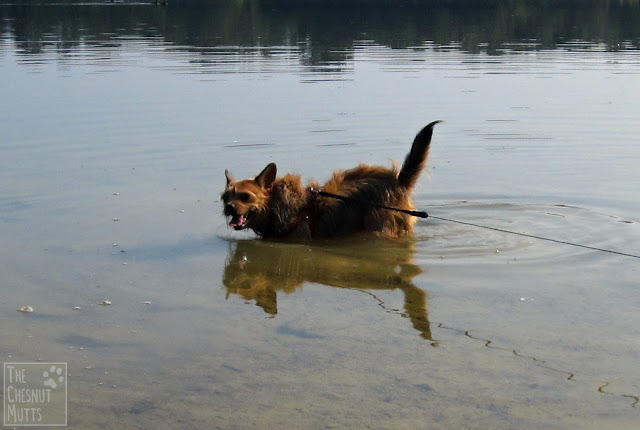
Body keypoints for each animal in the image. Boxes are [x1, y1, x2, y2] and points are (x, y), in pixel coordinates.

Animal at [221, 121, 440, 240]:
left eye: (246, 196)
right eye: (224, 198)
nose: (229, 208)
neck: (276, 204)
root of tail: (398, 181)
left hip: (382, 228)